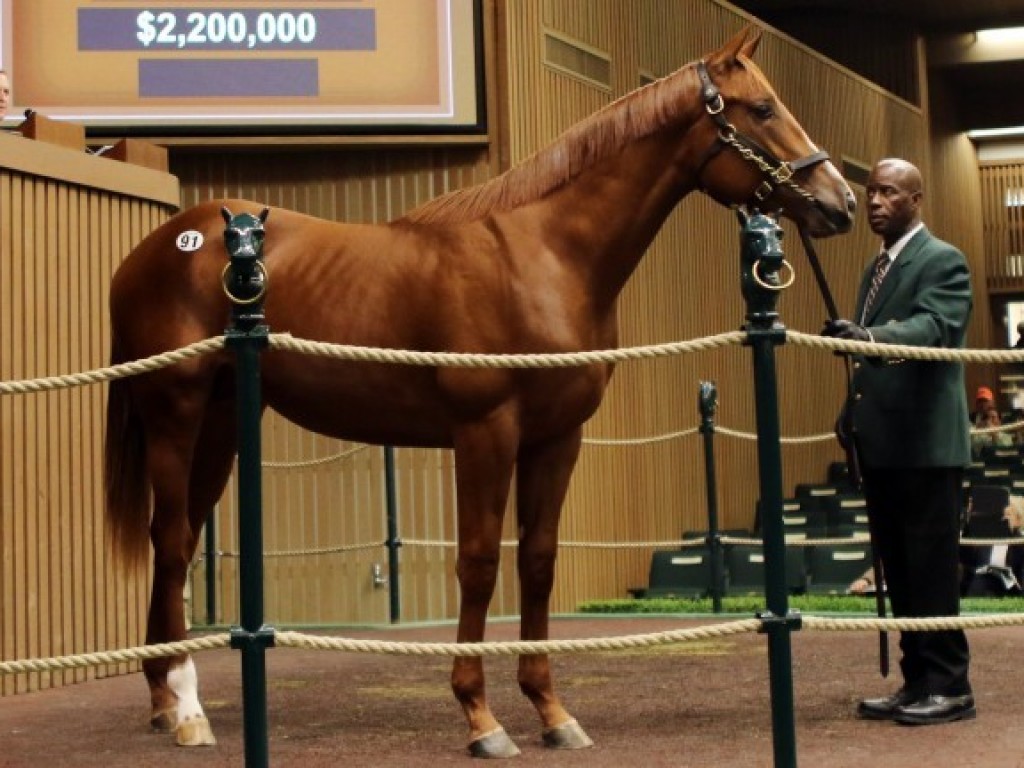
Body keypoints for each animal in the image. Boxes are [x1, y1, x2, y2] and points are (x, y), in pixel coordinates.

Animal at [105, 27, 856, 761]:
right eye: (762, 109)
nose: (840, 202)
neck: (544, 255)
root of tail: (156, 246)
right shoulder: (484, 431)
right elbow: (479, 562)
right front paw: (480, 717)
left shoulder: (558, 438)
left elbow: (538, 561)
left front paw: (552, 711)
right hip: (176, 413)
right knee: (172, 539)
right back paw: (188, 710)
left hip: (221, 424)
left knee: (177, 540)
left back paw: (162, 699)